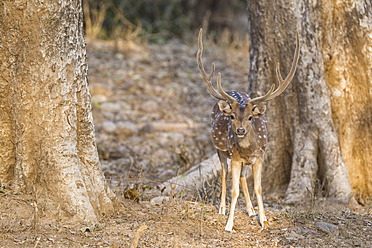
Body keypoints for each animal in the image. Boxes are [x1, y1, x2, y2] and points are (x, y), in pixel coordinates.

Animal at [198, 28, 300, 232]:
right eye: (231, 116)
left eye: (251, 117)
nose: (240, 130)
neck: (247, 149)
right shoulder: (235, 156)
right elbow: (234, 190)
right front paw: (229, 224)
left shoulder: (260, 156)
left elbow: (258, 188)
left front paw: (264, 220)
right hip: (220, 150)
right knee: (224, 174)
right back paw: (222, 209)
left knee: (244, 178)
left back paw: (251, 210)